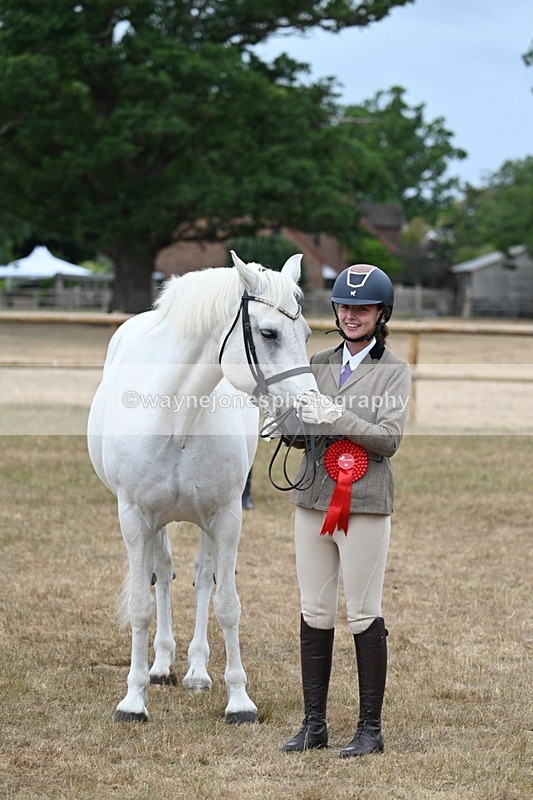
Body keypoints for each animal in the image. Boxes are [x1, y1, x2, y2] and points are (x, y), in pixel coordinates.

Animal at [87, 251, 318, 723]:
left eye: (306, 333)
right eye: (268, 333)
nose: (308, 420)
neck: (176, 416)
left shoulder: (226, 517)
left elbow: (226, 604)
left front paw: (240, 701)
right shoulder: (135, 518)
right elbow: (140, 605)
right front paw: (133, 700)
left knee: (200, 578)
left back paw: (195, 671)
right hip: (156, 523)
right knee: (162, 573)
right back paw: (159, 665)